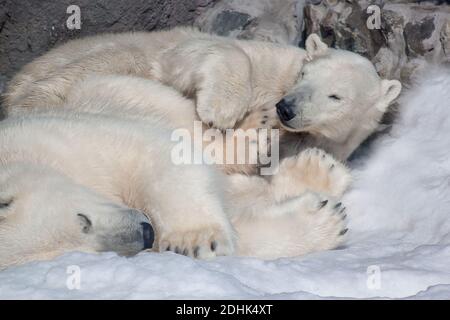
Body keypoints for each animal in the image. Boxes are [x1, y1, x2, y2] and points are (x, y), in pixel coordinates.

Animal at [0, 77, 350, 268]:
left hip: (101, 93)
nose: (146, 232)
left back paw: (259, 136)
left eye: (82, 220)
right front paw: (325, 222)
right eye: (85, 254)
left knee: (176, 118)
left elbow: (153, 154)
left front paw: (196, 238)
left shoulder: (64, 144)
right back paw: (318, 171)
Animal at [4, 26, 400, 170]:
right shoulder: (263, 61)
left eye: (335, 96)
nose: (285, 108)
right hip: (89, 70)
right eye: (304, 75)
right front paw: (222, 110)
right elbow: (206, 51)